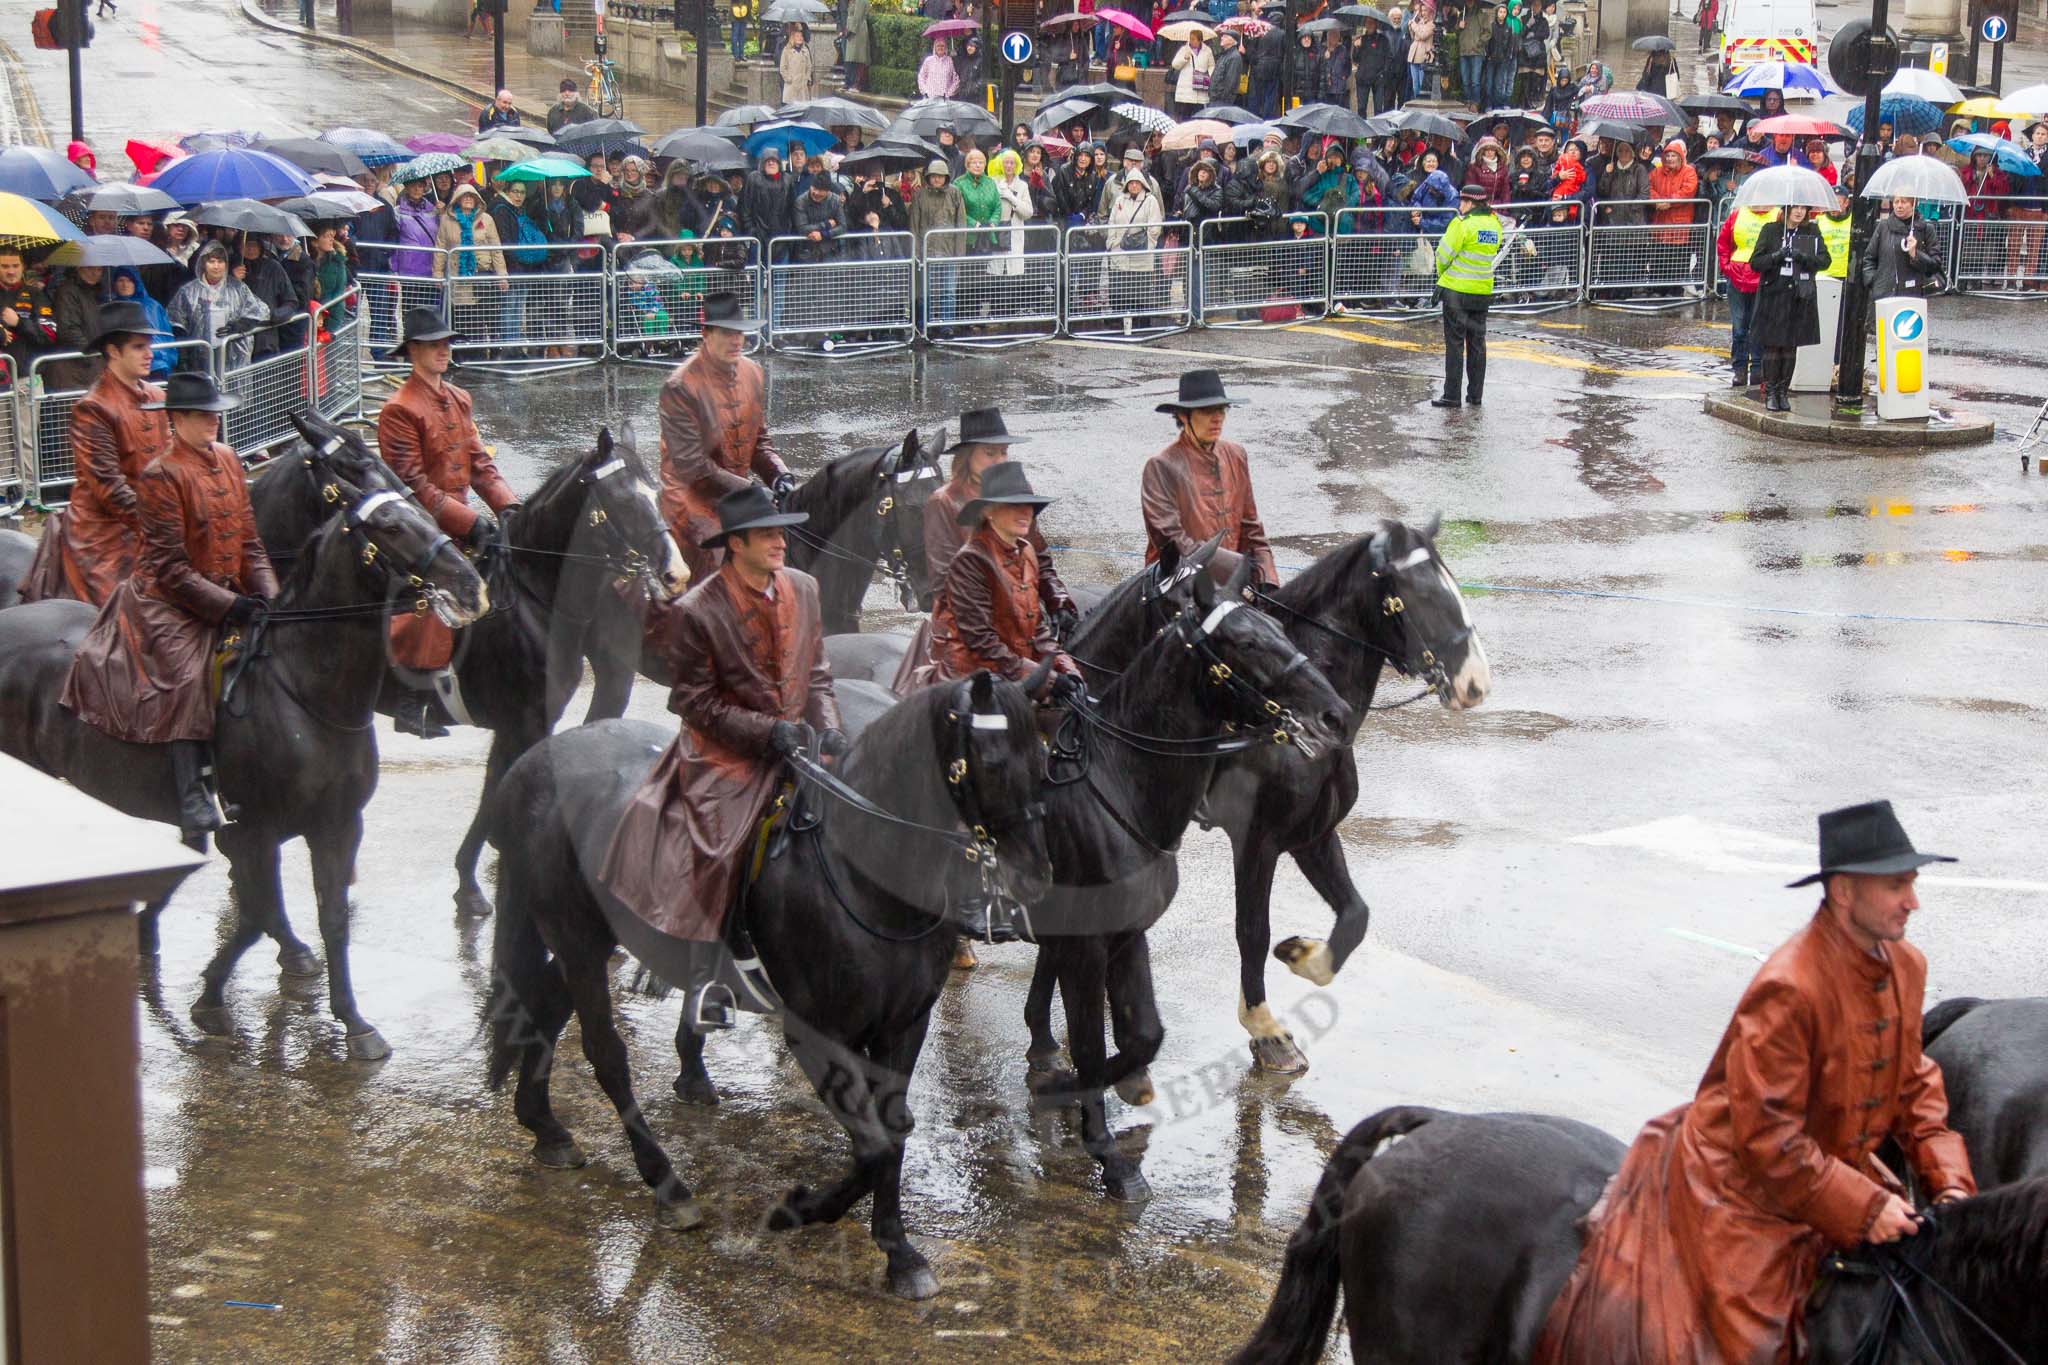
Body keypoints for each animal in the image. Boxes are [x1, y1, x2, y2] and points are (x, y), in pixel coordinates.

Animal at [0, 446, 485, 1055]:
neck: (305, 693)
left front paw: (353, 1020)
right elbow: (256, 915)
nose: (471, 585)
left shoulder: (335, 825)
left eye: (419, 505)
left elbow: (330, 917)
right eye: (392, 526)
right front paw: (212, 996)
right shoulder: (252, 830)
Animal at [252, 419, 688, 916]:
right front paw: (473, 880)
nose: (676, 573)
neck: (534, 599)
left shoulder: (521, 724)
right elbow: (495, 792)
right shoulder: (524, 722)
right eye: (624, 501)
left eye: (655, 492)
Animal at [485, 671, 1048, 1301]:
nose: (1037, 878)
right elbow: (874, 1144)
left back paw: (545, 1126)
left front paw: (891, 1247)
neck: (869, 880)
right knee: (605, 1053)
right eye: (993, 762)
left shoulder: (904, 1026)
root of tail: (533, 762)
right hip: (575, 935)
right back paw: (665, 1183)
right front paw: (803, 1211)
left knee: (544, 1008)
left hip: (588, 937)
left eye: (1044, 756)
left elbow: (893, 1132)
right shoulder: (817, 1033)